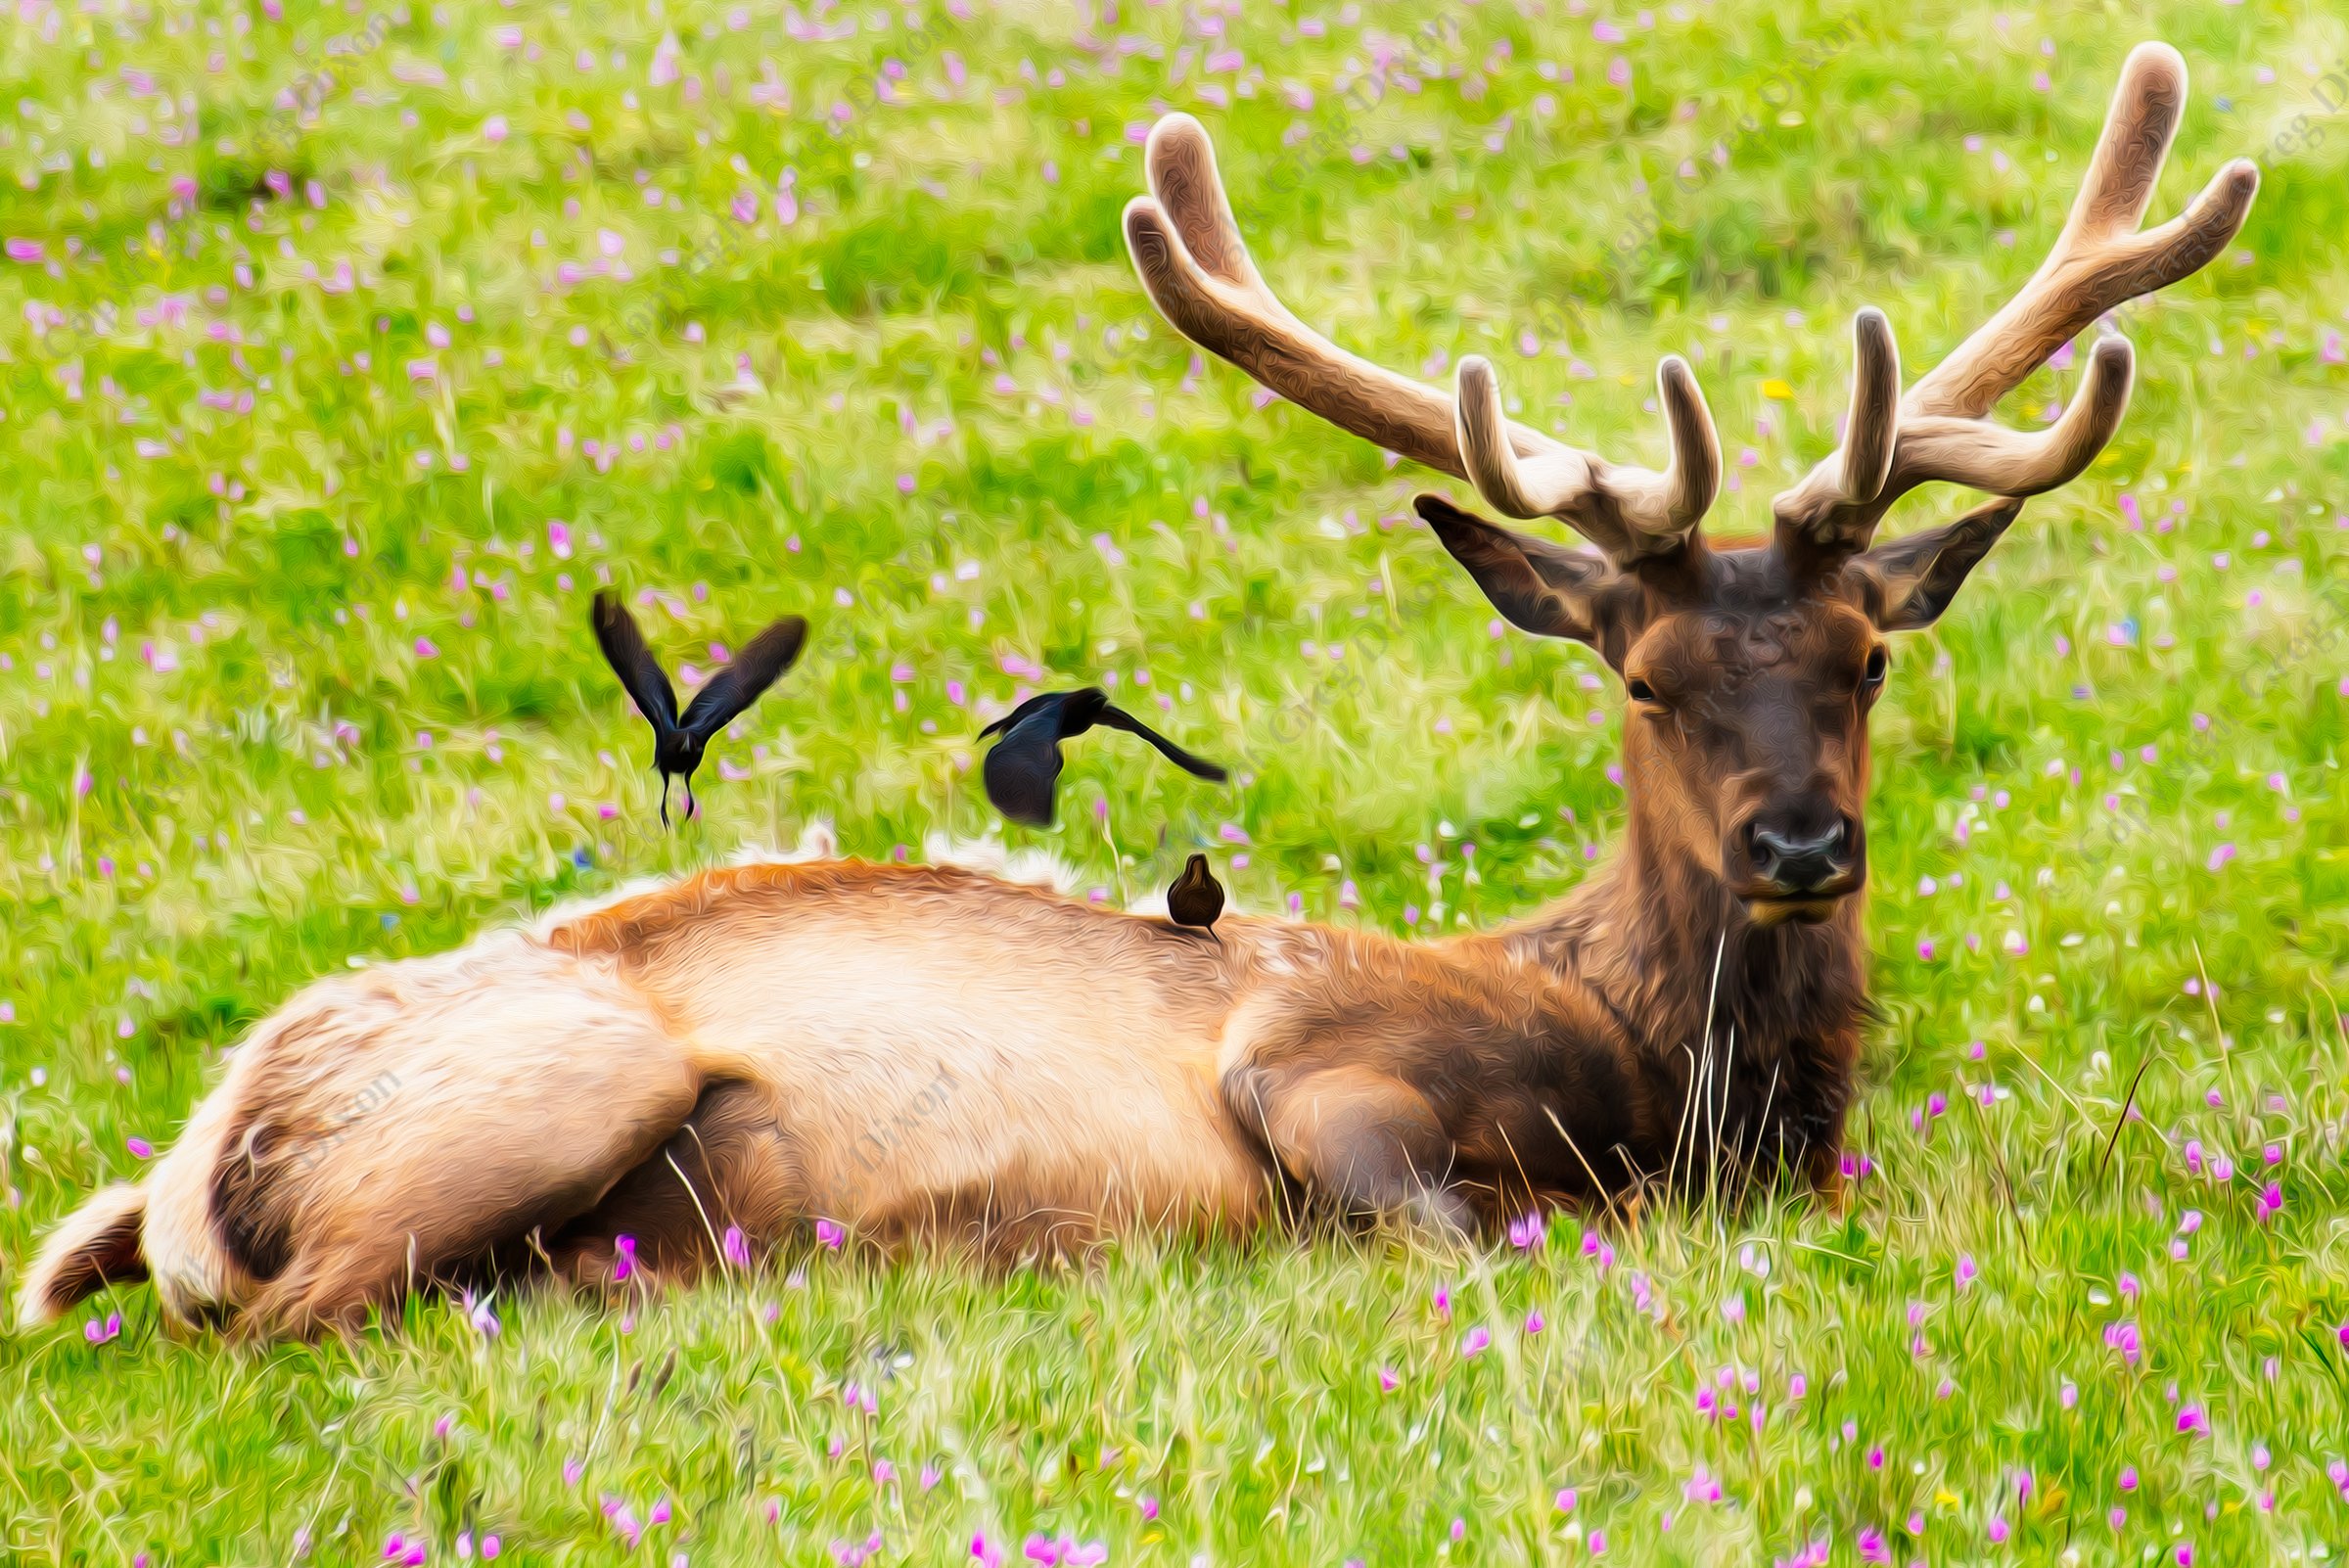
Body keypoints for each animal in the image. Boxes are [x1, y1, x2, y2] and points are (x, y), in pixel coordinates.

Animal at [17, 45, 2254, 1340]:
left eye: (1868, 652)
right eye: (1643, 674)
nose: (1802, 840)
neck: (1666, 1066)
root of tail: (184, 1172)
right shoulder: (1312, 1064)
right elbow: (1463, 1228)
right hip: (544, 1082)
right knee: (298, 1319)